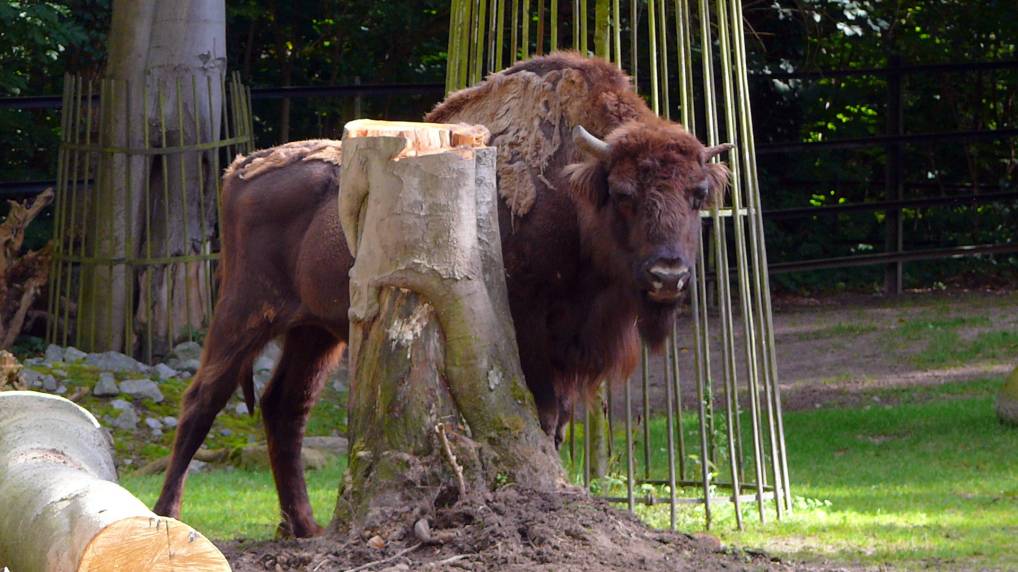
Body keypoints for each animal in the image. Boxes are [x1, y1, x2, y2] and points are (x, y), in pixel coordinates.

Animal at [152, 52, 732, 533]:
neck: (574, 194)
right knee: (203, 398)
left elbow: (559, 423)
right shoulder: (532, 342)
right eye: (625, 194)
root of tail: (239, 168)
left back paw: (305, 528)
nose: (668, 276)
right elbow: (543, 417)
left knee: (284, 407)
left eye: (698, 194)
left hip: (314, 331)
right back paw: (168, 515)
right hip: (245, 310)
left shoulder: (568, 353)